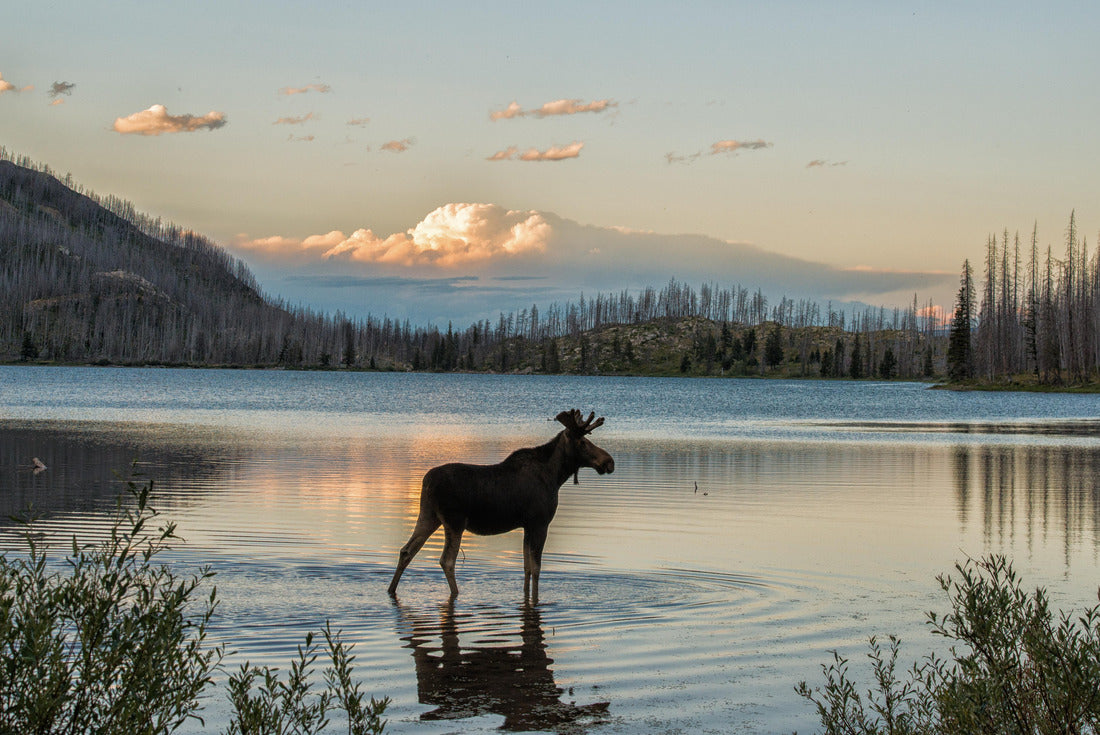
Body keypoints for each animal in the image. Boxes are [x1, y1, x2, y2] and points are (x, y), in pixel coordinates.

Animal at [387, 409, 614, 602]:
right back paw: (456, 593)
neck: (556, 476)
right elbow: (537, 568)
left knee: (406, 550)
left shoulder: (527, 526)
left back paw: (391, 589)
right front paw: (535, 599)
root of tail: (426, 482)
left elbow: (526, 567)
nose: (609, 462)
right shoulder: (540, 523)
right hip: (454, 521)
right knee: (446, 561)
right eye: (582, 442)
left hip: (428, 516)